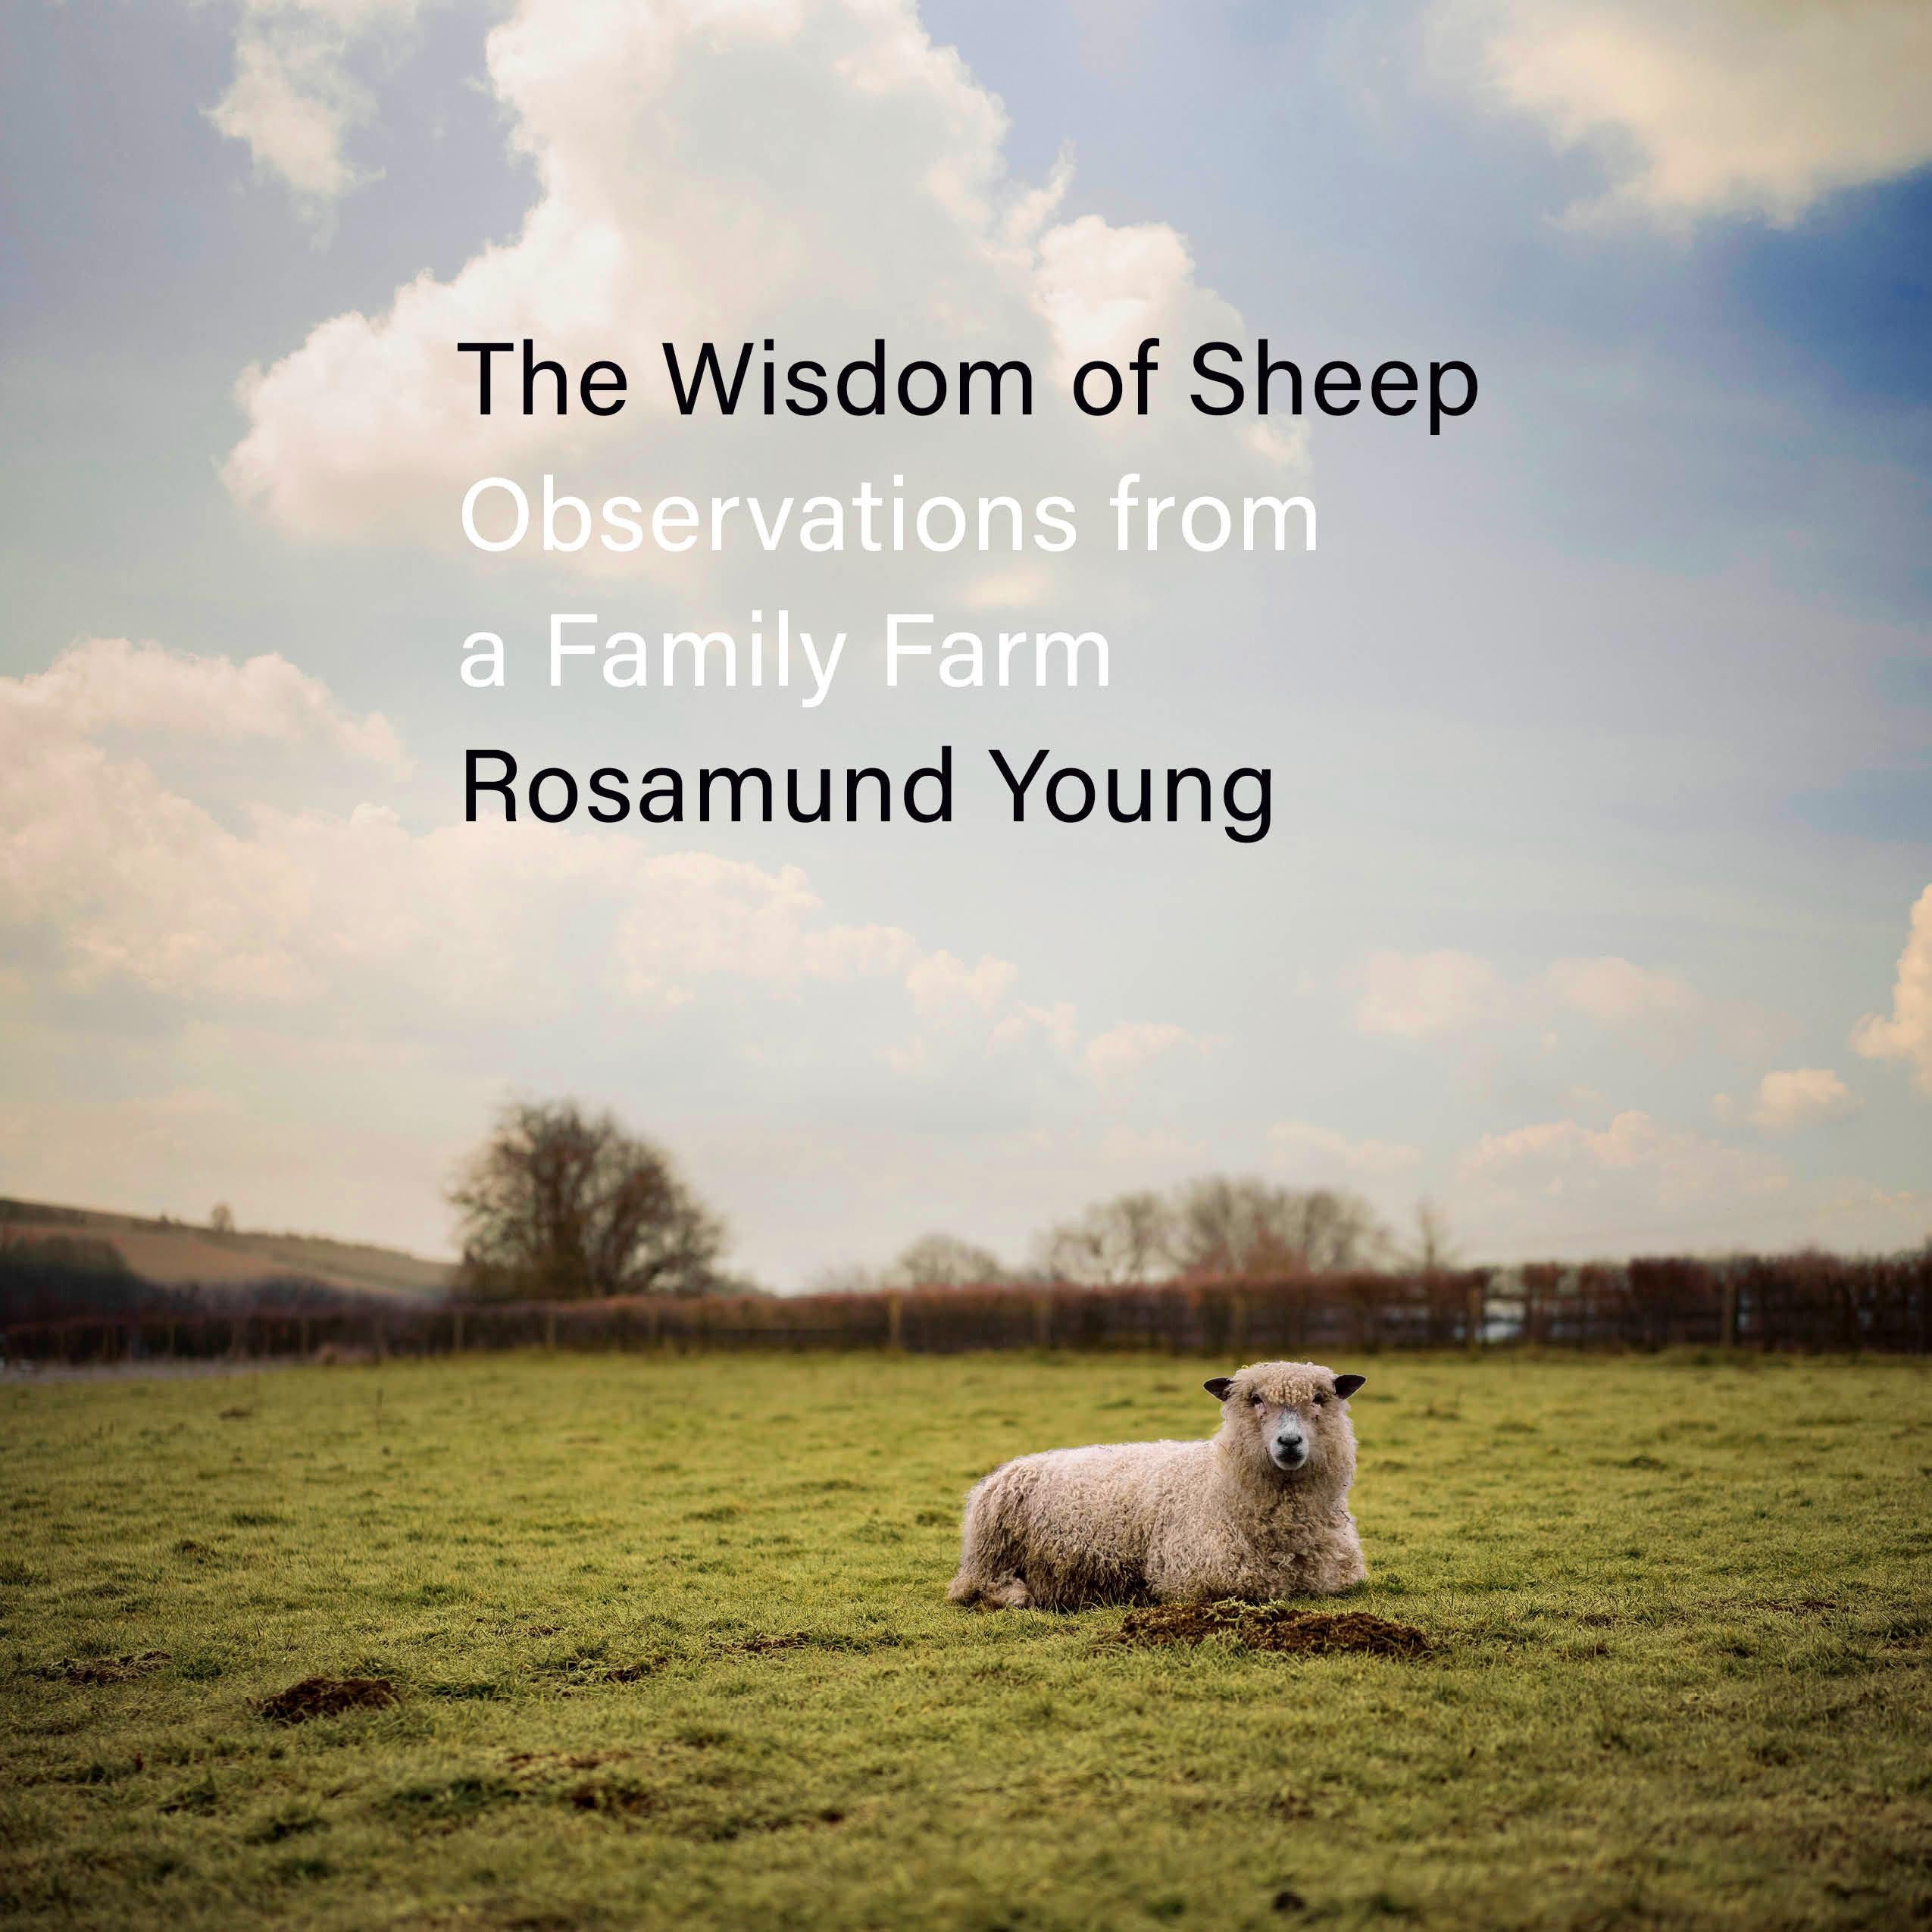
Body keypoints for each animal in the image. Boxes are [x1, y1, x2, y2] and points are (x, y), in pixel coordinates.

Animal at [948, 1360, 1366, 1610]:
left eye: (1320, 1399)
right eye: (1256, 1399)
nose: (1290, 1442)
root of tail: (1005, 1469)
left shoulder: (1334, 1579)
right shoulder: (1197, 1576)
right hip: (990, 1553)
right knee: (976, 1588)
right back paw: (1019, 1595)